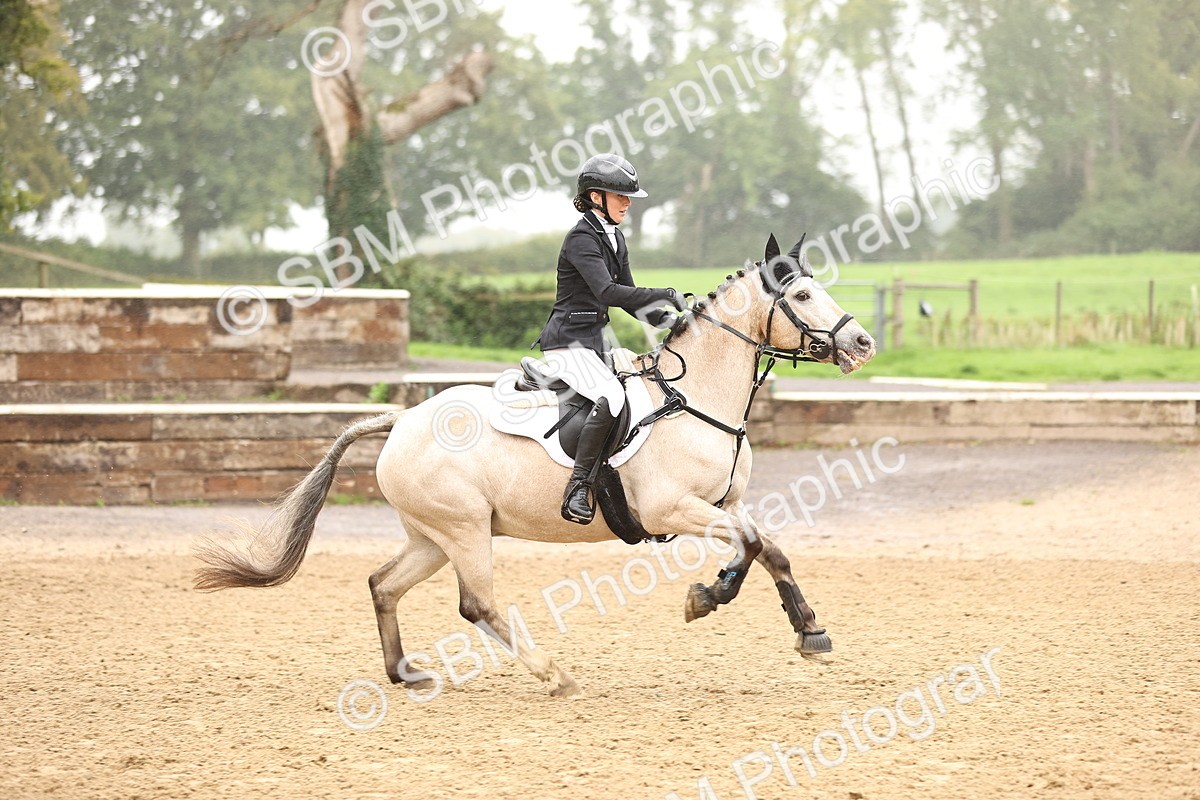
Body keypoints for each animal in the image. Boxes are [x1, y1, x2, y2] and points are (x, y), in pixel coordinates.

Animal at [195, 234, 877, 698]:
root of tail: (403, 420)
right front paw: (711, 599)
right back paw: (554, 674)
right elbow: (754, 545)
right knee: (477, 605)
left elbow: (767, 548)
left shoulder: (724, 505)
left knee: (383, 584)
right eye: (802, 294)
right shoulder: (673, 509)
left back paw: (405, 672)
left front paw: (799, 627)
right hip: (465, 530)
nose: (862, 342)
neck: (696, 396)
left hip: (433, 536)